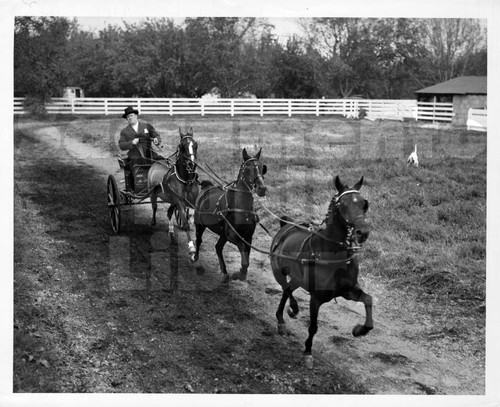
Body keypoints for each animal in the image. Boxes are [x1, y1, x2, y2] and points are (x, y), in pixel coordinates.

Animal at [146, 127, 199, 255]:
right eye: (182, 146)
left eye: (195, 145)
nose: (191, 164)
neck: (185, 180)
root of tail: (155, 163)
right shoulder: (179, 202)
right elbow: (186, 223)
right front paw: (191, 246)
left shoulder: (191, 202)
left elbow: (192, 219)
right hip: (152, 193)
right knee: (154, 207)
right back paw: (153, 222)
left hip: (171, 200)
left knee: (169, 213)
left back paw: (171, 233)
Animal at [193, 148, 268, 286]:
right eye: (247, 169)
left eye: (262, 167)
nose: (262, 188)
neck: (242, 209)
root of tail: (207, 186)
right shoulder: (233, 236)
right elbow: (243, 254)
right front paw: (239, 273)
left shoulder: (248, 237)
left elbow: (246, 258)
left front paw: (241, 274)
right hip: (200, 225)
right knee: (199, 240)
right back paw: (195, 258)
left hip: (222, 234)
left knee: (218, 248)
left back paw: (224, 273)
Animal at [270, 175, 372, 370]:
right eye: (343, 205)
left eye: (364, 203)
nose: (363, 232)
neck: (333, 254)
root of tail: (286, 225)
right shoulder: (316, 298)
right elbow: (313, 327)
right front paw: (308, 352)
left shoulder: (348, 290)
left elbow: (368, 299)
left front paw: (360, 330)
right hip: (277, 270)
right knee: (285, 288)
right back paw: (292, 309)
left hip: (297, 278)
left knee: (288, 289)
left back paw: (281, 319)